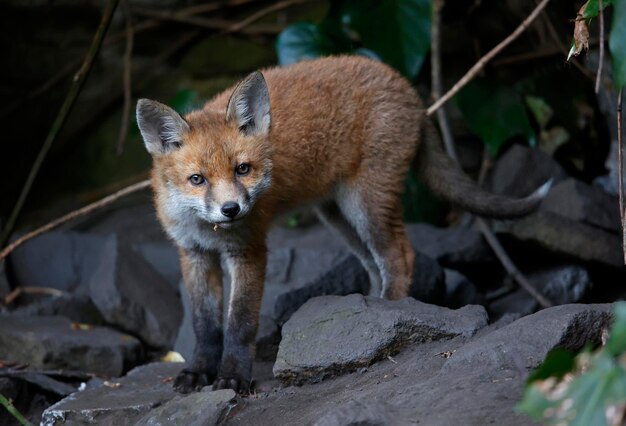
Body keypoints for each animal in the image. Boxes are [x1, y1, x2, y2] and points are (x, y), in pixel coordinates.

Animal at [135, 55, 544, 394]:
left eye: (242, 169)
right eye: (197, 179)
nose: (231, 209)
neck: (209, 230)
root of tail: (404, 85)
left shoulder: (248, 251)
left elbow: (239, 323)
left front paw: (233, 377)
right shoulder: (194, 254)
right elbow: (204, 325)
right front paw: (199, 372)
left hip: (364, 205)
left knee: (400, 255)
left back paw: (391, 314)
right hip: (338, 218)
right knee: (374, 264)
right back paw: (366, 312)